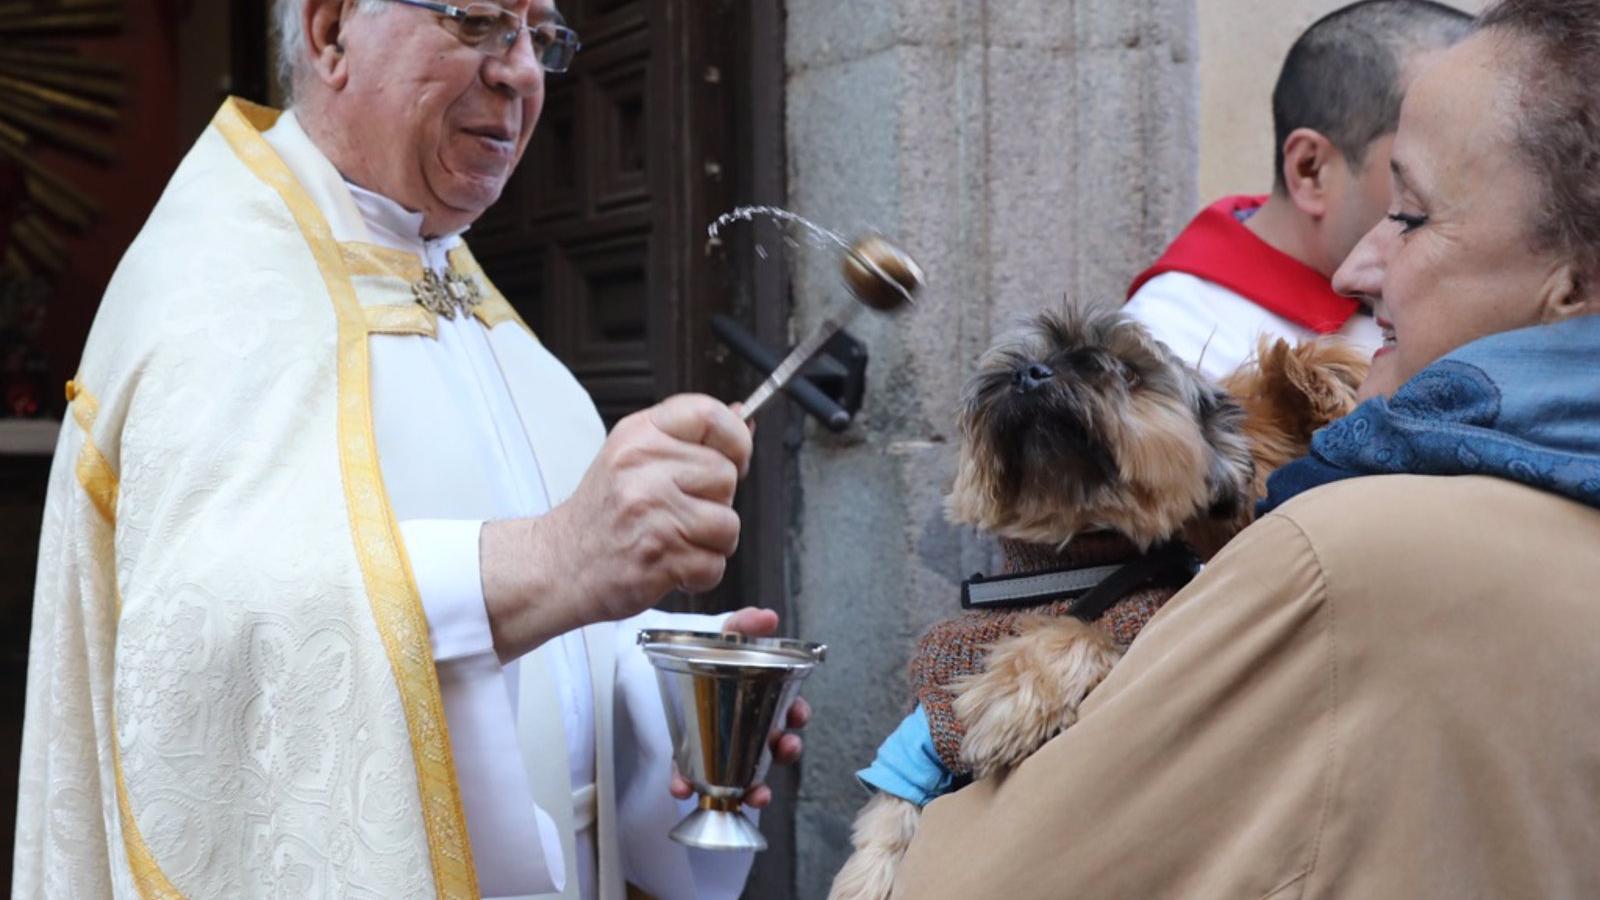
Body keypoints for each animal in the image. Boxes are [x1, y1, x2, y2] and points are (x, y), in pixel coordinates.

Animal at [832, 307, 1369, 896]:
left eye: (1128, 374)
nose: (1032, 373)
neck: (1059, 573)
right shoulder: (925, 714)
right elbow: (891, 805)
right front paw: (865, 877)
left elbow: (1083, 634)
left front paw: (1010, 696)